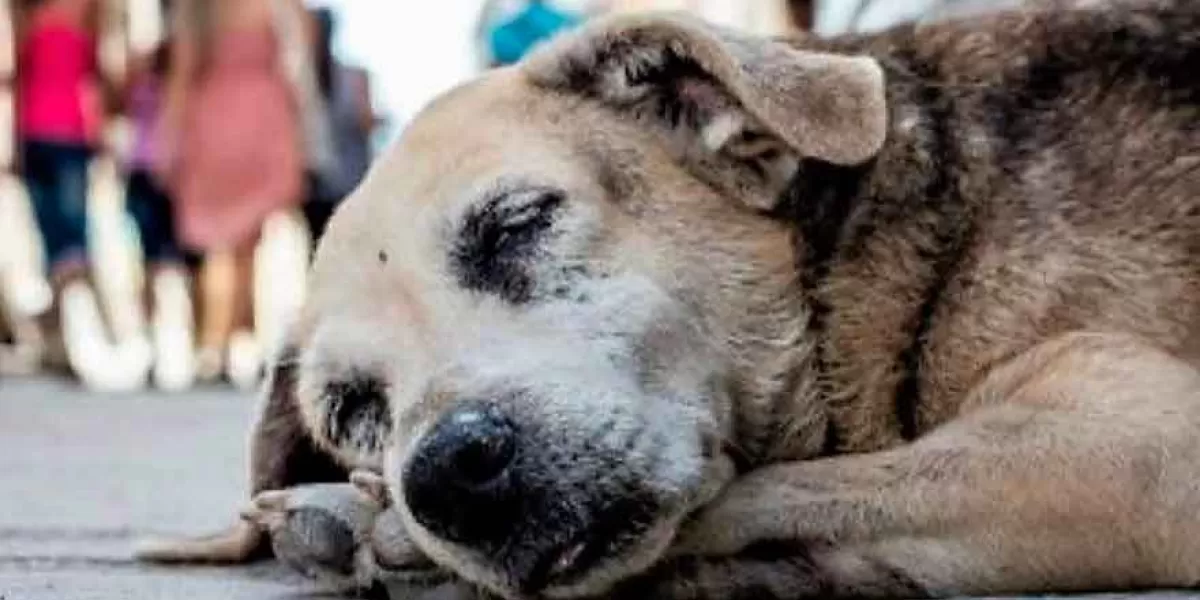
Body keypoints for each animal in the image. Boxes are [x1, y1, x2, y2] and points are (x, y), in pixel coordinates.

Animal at [133, 2, 1200, 597]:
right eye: (353, 408)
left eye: (515, 224)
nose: (442, 475)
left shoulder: (1136, 442)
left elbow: (770, 493)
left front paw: (377, 530)